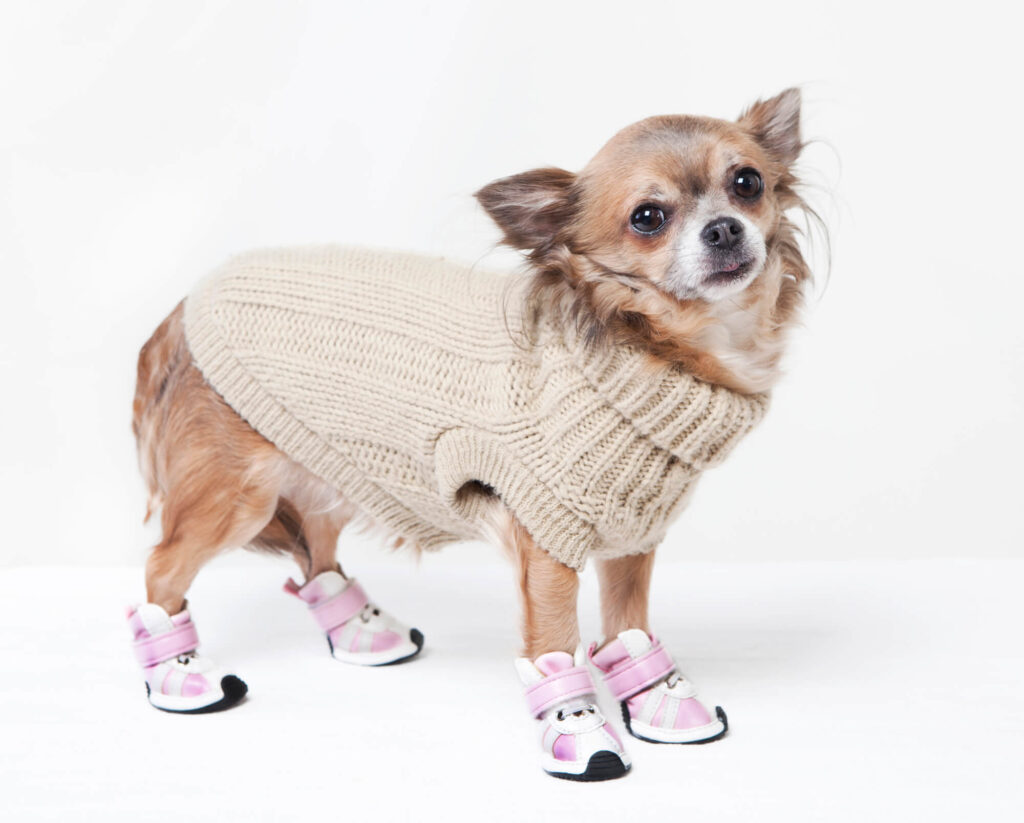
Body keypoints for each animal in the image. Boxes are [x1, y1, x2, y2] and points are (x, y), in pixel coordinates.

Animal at [130, 87, 815, 782]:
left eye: (747, 183)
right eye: (648, 217)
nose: (724, 228)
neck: (646, 349)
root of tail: (180, 312)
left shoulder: (631, 538)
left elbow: (629, 628)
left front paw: (657, 703)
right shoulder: (547, 543)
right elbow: (555, 646)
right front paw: (582, 733)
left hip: (328, 473)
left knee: (317, 555)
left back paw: (362, 634)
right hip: (238, 499)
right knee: (161, 572)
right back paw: (178, 678)